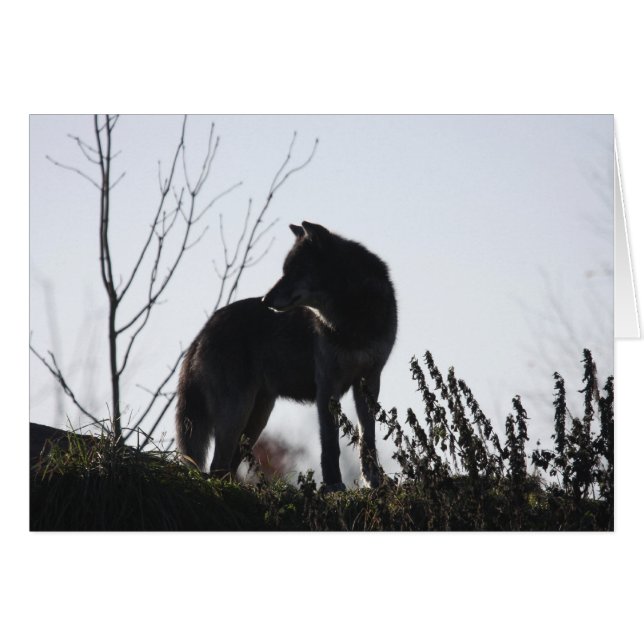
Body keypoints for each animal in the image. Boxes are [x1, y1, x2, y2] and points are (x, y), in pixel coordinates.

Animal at [175, 221, 397, 490]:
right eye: (284, 270)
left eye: (295, 271)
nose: (265, 300)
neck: (353, 320)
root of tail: (203, 331)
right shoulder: (327, 386)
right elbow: (330, 445)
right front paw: (333, 485)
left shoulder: (369, 381)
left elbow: (368, 440)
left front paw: (374, 481)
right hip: (237, 413)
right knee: (216, 466)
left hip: (255, 420)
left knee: (225, 466)